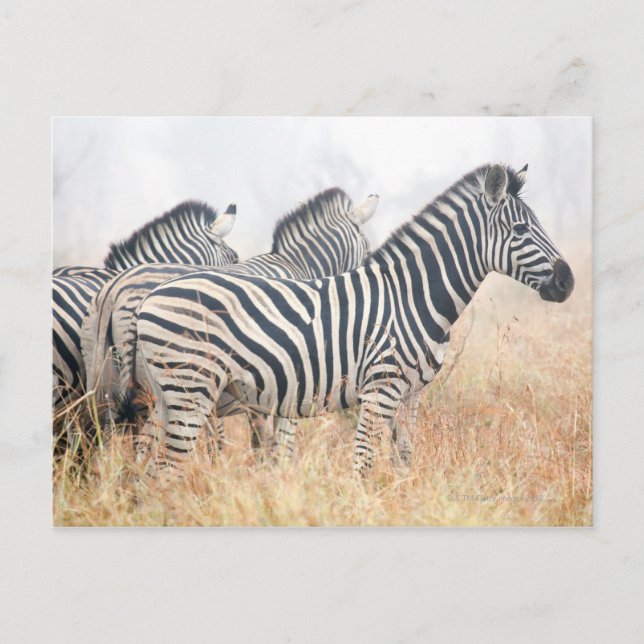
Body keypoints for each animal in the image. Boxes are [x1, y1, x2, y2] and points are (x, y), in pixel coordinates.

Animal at [80, 188, 379, 449]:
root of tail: (114, 289)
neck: (298, 265)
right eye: (367, 253)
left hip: (101, 380)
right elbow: (279, 446)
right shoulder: (291, 385)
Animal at [134, 164, 574, 474]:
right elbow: (363, 462)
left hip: (165, 398)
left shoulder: (411, 394)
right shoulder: (380, 388)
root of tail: (150, 297)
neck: (409, 298)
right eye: (520, 229)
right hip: (190, 390)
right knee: (167, 469)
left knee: (148, 471)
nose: (567, 281)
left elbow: (404, 458)